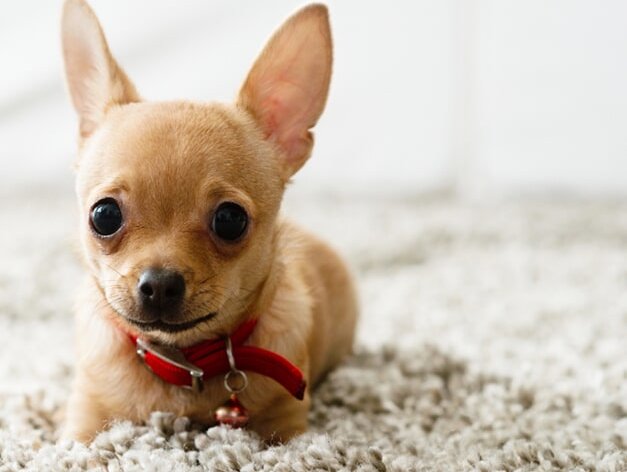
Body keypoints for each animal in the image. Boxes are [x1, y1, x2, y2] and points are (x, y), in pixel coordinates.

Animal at [62, 0, 360, 442]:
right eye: (104, 215)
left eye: (230, 220)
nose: (159, 284)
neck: (184, 363)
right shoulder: (83, 424)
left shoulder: (286, 427)